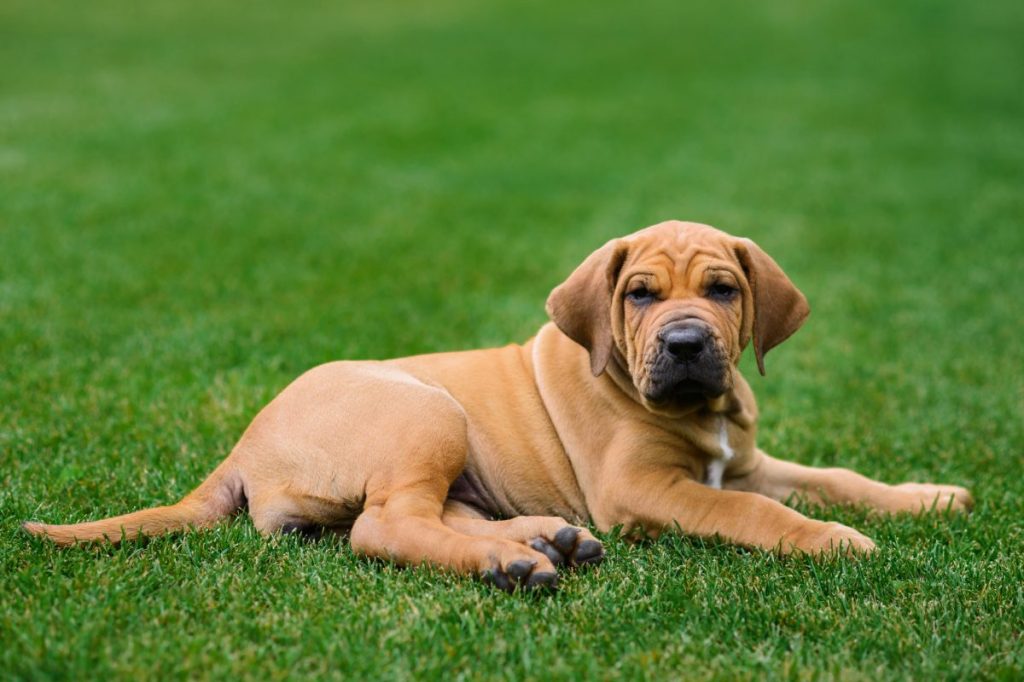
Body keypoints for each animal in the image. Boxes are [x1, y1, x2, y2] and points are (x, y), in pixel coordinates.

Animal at [22, 220, 966, 585]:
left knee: (426, 515)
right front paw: (834, 541)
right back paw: (508, 563)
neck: (698, 416)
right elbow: (755, 516)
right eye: (640, 295)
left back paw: (543, 541)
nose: (687, 345)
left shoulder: (747, 463)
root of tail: (243, 447)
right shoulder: (645, 489)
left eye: (724, 290)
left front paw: (928, 496)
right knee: (384, 528)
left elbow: (835, 477)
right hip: (425, 409)